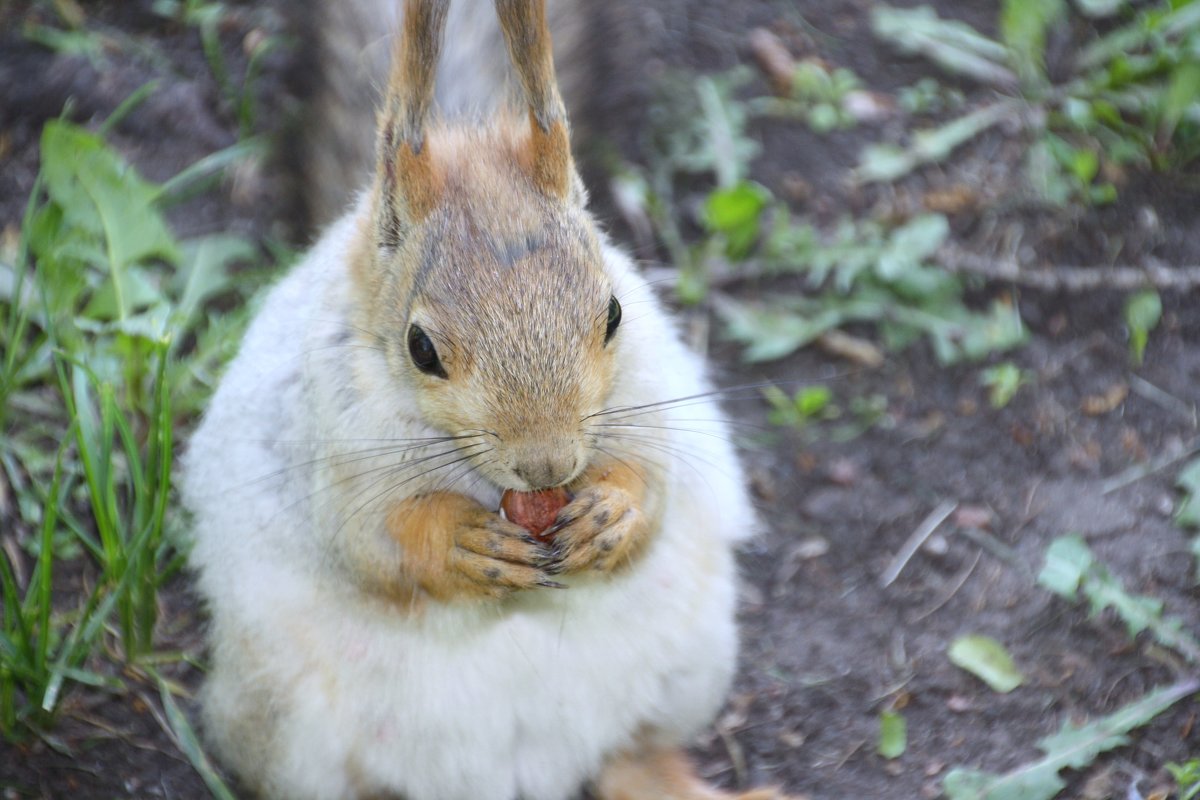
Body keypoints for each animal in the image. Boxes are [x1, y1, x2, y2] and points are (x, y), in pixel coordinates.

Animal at [180, 1, 796, 800]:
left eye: (614, 313)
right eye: (420, 349)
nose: (548, 468)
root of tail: (522, 771)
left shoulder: (650, 399)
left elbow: (653, 488)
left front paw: (612, 512)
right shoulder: (330, 446)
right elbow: (370, 544)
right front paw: (461, 542)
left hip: (690, 664)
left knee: (633, 758)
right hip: (284, 728)